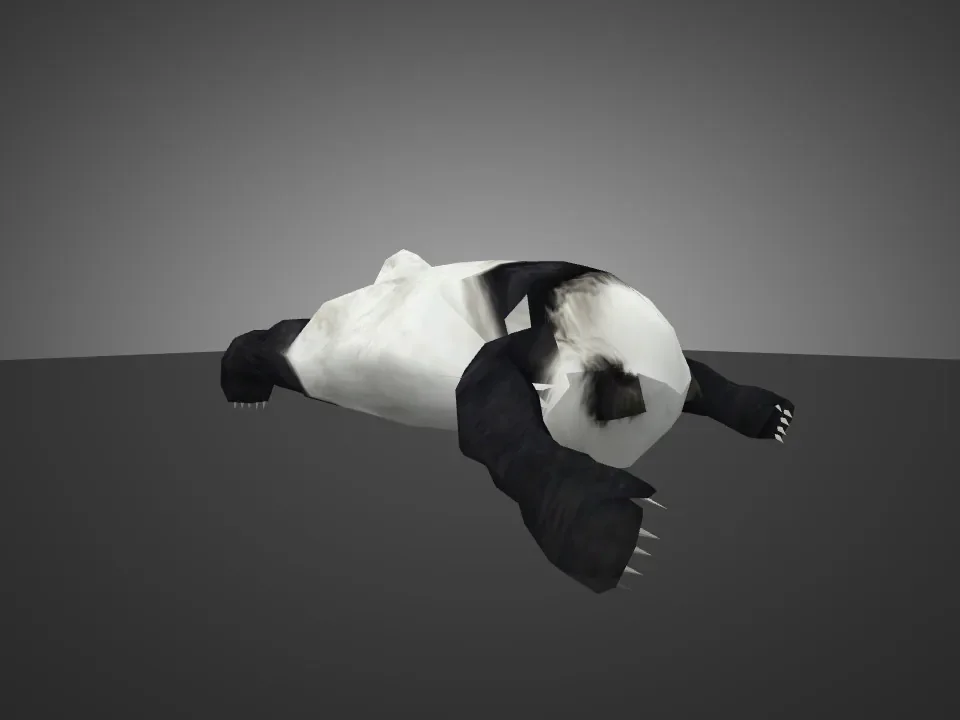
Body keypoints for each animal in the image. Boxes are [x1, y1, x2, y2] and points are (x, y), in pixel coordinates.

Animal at [221, 250, 795, 594]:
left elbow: (704, 379)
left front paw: (772, 414)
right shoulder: (523, 342)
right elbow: (492, 415)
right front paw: (612, 534)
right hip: (321, 347)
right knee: (279, 341)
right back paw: (243, 384)